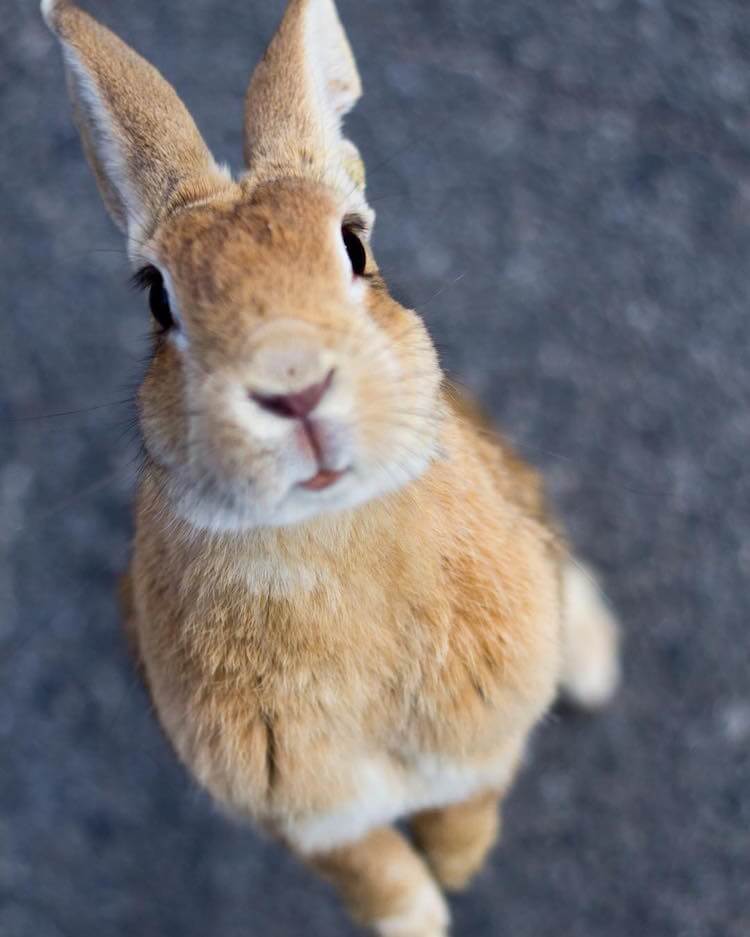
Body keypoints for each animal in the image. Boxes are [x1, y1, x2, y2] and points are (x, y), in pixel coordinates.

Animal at [42, 1, 624, 936]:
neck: (321, 529)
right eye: (159, 299)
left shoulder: (483, 741)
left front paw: (459, 867)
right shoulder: (306, 813)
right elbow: (371, 867)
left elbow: (469, 802)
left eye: (354, 248)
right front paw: (417, 915)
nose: (294, 385)